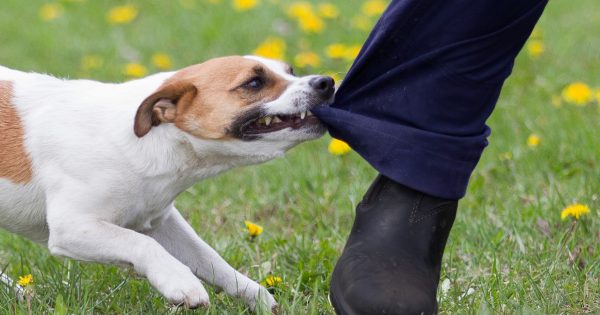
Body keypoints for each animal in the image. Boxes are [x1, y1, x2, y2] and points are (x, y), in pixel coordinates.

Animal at [0, 55, 332, 312]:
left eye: (290, 71)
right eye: (254, 83)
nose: (326, 82)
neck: (150, 139)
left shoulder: (161, 222)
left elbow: (211, 259)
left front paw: (259, 298)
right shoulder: (72, 227)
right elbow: (141, 244)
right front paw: (181, 283)